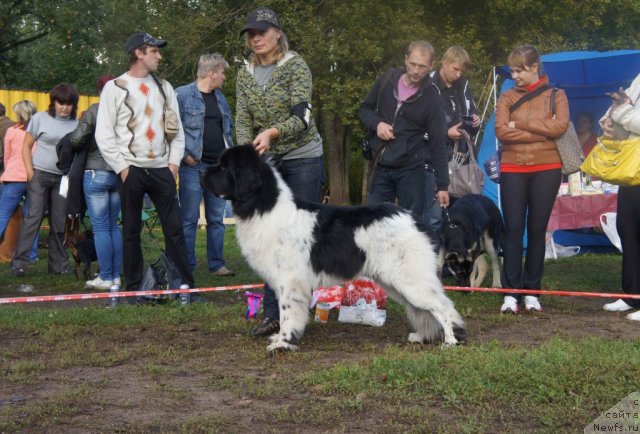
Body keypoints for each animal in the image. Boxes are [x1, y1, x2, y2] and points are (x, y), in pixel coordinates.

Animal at [200, 146, 464, 352]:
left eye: (224, 167)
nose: (201, 171)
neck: (263, 205)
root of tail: (417, 220)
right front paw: (281, 337)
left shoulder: (290, 281)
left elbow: (287, 313)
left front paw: (283, 343)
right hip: (396, 282)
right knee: (424, 308)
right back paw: (422, 337)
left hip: (411, 279)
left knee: (443, 306)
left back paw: (451, 341)